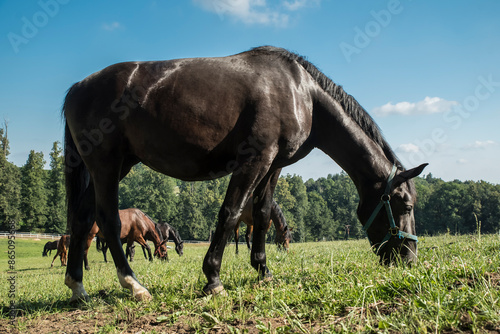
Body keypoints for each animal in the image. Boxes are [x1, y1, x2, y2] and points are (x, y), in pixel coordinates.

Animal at [60, 45, 426, 302]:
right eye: (405, 205)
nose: (409, 260)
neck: (300, 91)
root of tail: (77, 88)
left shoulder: (274, 165)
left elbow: (261, 215)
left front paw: (263, 270)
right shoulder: (255, 159)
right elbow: (231, 213)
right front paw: (213, 279)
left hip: (115, 166)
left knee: (82, 219)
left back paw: (77, 287)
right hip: (106, 166)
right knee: (107, 220)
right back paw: (134, 285)